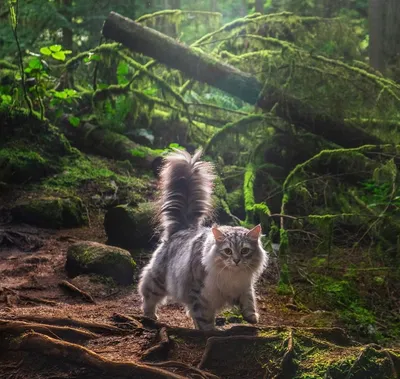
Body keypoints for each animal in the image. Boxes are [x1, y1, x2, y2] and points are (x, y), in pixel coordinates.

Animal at [138, 148, 268, 330]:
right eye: (227, 251)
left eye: (244, 250)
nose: (236, 260)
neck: (232, 276)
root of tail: (184, 228)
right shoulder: (200, 294)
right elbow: (204, 316)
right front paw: (210, 330)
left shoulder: (244, 286)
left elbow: (249, 301)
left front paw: (252, 317)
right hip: (158, 280)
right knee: (148, 294)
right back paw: (150, 315)